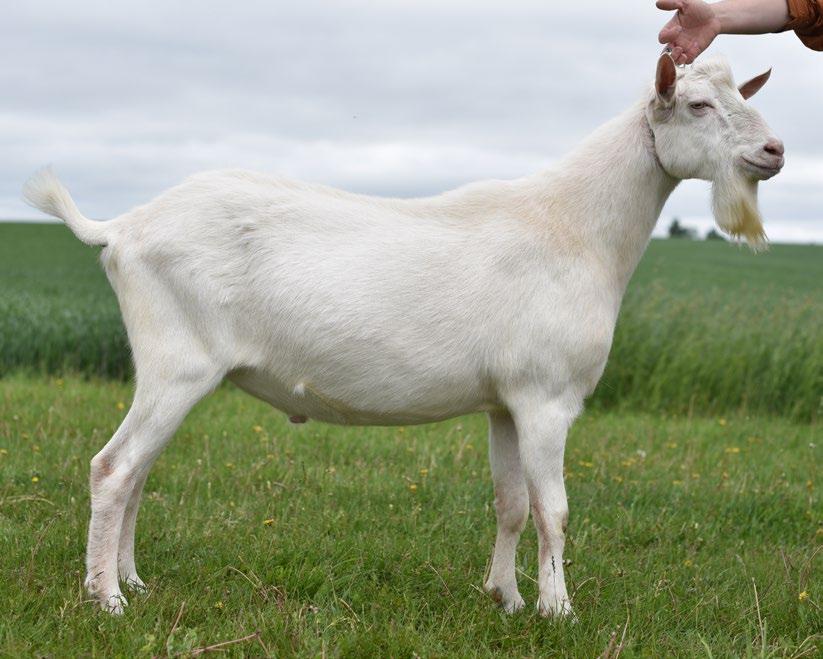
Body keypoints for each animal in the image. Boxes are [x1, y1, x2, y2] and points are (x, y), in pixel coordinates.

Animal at [23, 54, 783, 617]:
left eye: (739, 94)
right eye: (697, 106)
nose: (774, 150)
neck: (572, 228)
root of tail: (121, 229)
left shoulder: (505, 402)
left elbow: (511, 504)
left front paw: (505, 598)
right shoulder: (547, 397)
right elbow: (553, 509)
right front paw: (557, 610)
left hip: (168, 368)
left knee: (137, 471)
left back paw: (132, 580)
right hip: (178, 361)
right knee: (113, 468)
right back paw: (108, 600)